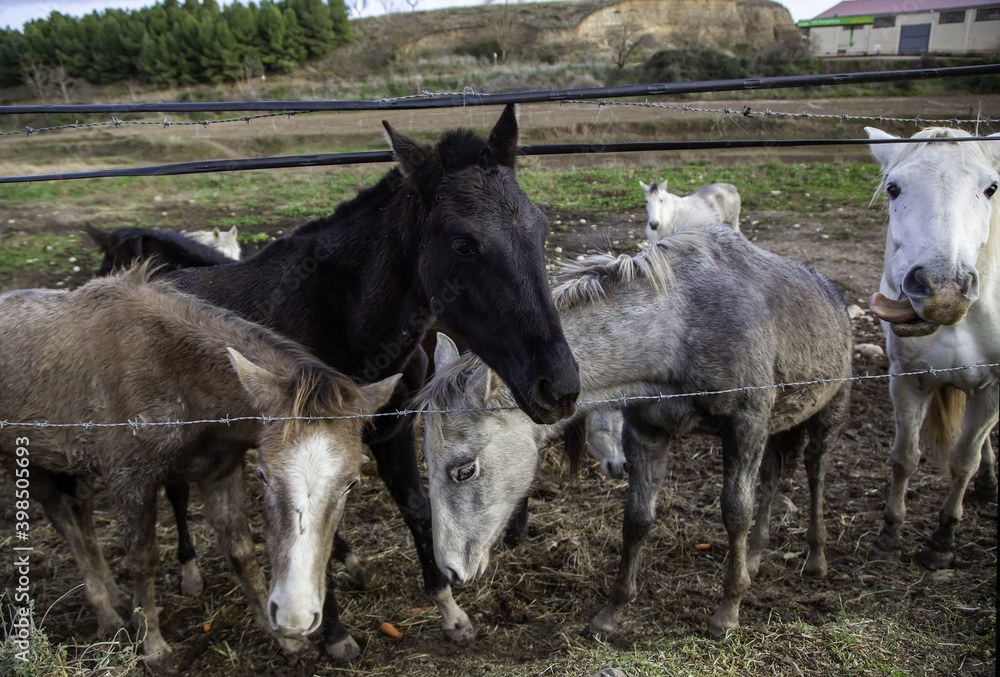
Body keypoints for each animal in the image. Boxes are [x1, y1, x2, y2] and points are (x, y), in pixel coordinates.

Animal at [0, 269, 399, 672]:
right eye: (263, 475)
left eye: (351, 483)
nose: (294, 616)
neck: (175, 378)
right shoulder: (129, 481)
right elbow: (142, 561)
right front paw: (154, 648)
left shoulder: (220, 471)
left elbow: (241, 551)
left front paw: (283, 640)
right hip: (26, 459)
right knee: (64, 521)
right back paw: (108, 614)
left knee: (79, 518)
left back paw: (114, 599)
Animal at [98, 103, 579, 661]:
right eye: (464, 243)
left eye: (542, 229)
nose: (559, 387)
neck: (346, 322)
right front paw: (334, 635)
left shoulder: (392, 432)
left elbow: (415, 511)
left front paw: (451, 613)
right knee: (177, 491)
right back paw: (190, 573)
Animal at [419, 222, 852, 639]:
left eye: (464, 470)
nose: (449, 570)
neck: (681, 326)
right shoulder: (647, 432)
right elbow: (637, 520)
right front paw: (611, 614)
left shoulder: (746, 426)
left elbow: (735, 514)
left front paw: (727, 612)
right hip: (779, 426)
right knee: (774, 474)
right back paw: (756, 557)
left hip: (829, 414)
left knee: (816, 472)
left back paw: (815, 559)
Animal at [865, 127, 1000, 569]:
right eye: (893, 188)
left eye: (991, 188)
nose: (943, 290)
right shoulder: (907, 382)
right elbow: (904, 457)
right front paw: (889, 537)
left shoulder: (993, 388)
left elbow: (963, 460)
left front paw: (943, 540)